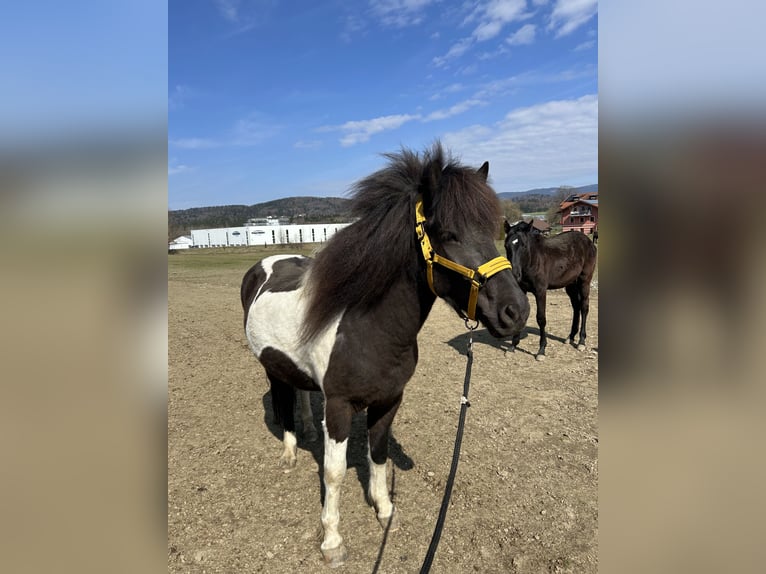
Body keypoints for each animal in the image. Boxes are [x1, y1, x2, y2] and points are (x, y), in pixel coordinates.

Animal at [241, 143, 530, 567]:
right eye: (449, 234)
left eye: (493, 231)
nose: (516, 311)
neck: (370, 328)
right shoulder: (340, 407)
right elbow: (334, 473)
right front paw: (332, 540)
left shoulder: (390, 400)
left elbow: (377, 454)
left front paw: (384, 510)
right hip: (270, 367)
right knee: (282, 399)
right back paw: (291, 451)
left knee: (301, 393)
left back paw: (307, 428)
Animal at [503, 220, 597, 360]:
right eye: (506, 245)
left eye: (524, 246)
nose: (515, 274)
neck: (533, 259)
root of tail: (590, 242)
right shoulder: (522, 290)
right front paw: (513, 346)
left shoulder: (540, 291)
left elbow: (541, 318)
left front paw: (541, 350)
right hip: (571, 284)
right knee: (576, 307)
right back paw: (570, 337)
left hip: (584, 281)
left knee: (584, 307)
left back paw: (581, 341)